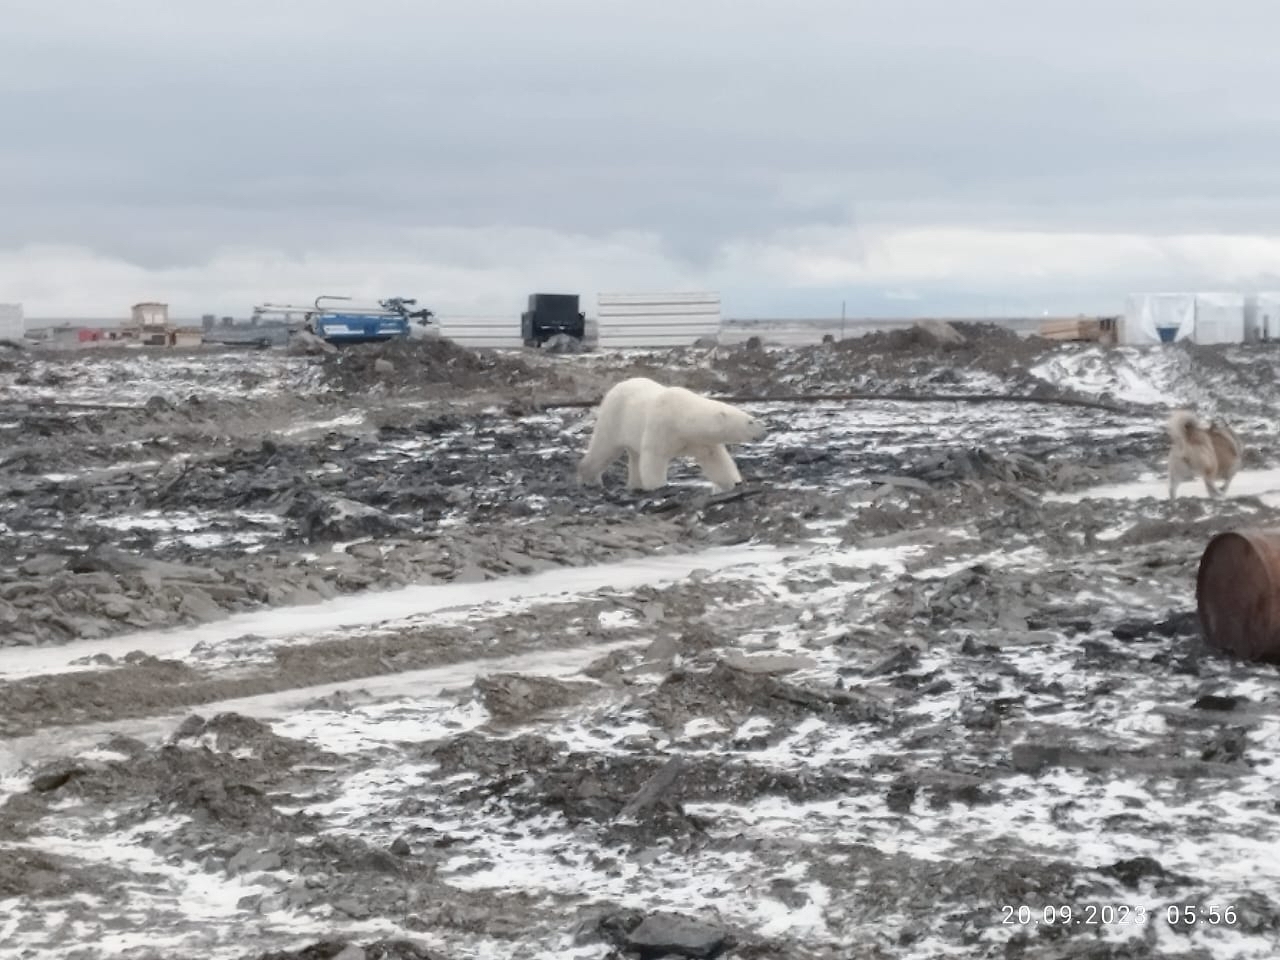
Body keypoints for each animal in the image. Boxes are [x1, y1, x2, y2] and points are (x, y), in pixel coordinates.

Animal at [576, 378, 762, 491]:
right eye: (750, 421)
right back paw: (590, 479)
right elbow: (654, 457)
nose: (763, 431)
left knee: (635, 456)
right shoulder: (661, 426)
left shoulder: (698, 440)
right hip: (615, 417)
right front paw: (659, 487)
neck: (682, 416)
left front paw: (734, 483)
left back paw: (635, 485)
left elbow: (715, 459)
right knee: (604, 448)